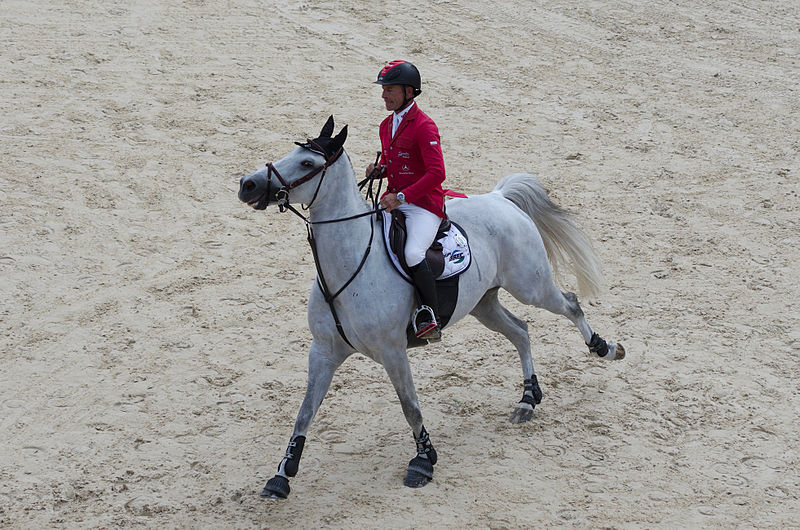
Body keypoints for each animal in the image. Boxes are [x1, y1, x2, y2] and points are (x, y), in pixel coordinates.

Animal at [238, 114, 624, 496]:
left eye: (307, 163)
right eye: (292, 152)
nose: (248, 184)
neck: (350, 262)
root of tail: (500, 198)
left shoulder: (393, 352)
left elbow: (410, 407)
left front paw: (423, 462)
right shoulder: (323, 351)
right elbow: (304, 413)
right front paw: (282, 474)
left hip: (532, 286)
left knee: (571, 305)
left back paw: (604, 348)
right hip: (484, 303)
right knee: (520, 331)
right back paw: (528, 399)